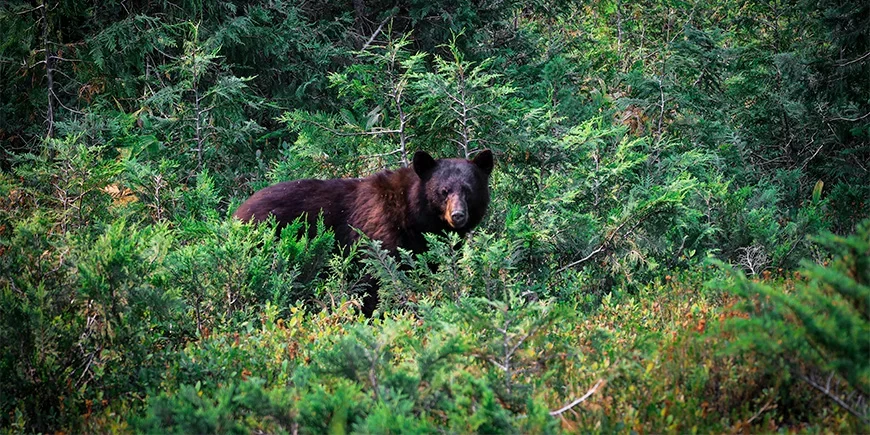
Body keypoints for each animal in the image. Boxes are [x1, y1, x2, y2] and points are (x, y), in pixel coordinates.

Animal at [233, 149, 494, 315]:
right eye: (443, 191)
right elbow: (374, 279)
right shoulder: (378, 230)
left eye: (468, 190)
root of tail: (237, 214)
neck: (411, 214)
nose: (457, 215)